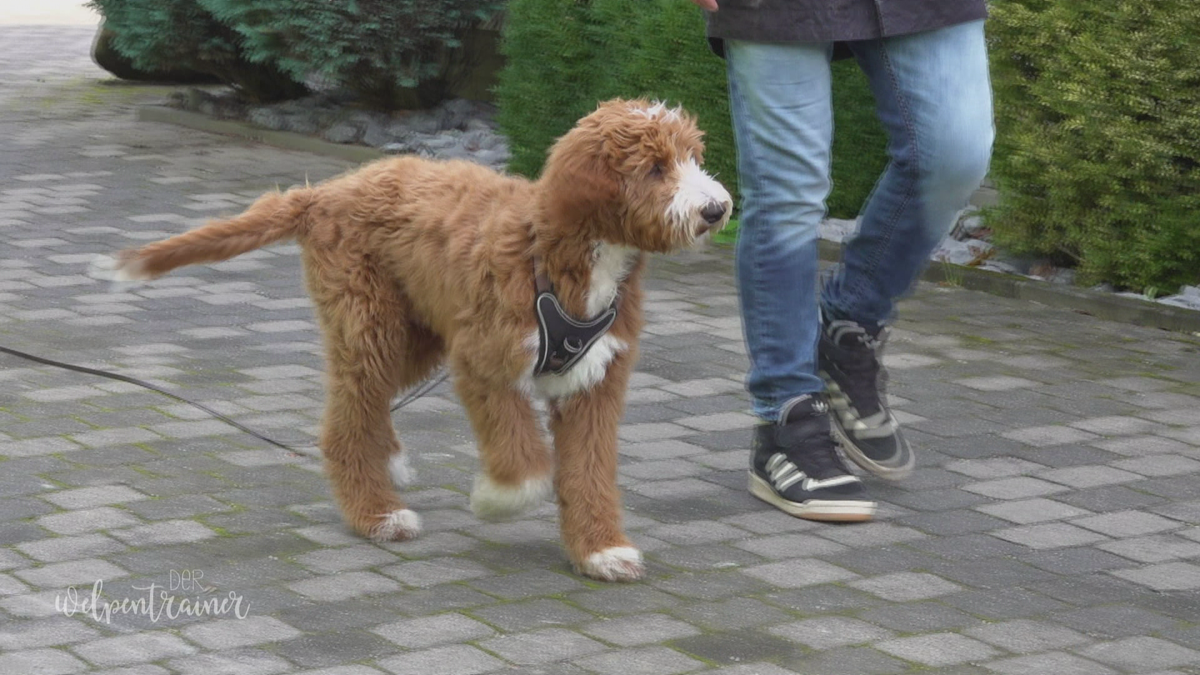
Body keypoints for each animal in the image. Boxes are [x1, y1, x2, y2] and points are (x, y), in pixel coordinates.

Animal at [112, 98, 729, 578]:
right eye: (654, 168)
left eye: (692, 157)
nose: (717, 208)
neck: (554, 252)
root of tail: (326, 193)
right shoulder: (482, 362)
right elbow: (524, 459)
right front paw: (496, 499)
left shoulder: (595, 381)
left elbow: (590, 469)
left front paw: (601, 550)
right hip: (371, 323)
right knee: (347, 418)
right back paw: (377, 514)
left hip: (414, 335)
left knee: (362, 405)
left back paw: (387, 464)